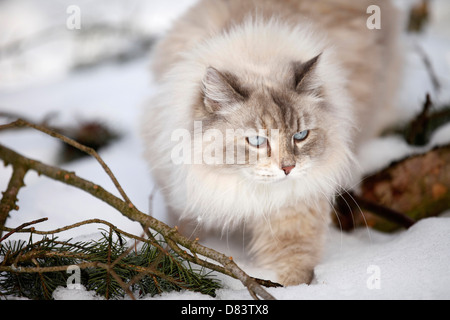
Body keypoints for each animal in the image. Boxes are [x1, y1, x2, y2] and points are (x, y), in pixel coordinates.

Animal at [141, 0, 400, 284]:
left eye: (300, 136)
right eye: (257, 140)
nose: (288, 168)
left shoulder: (292, 214)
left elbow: (292, 272)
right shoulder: (185, 202)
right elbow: (183, 241)